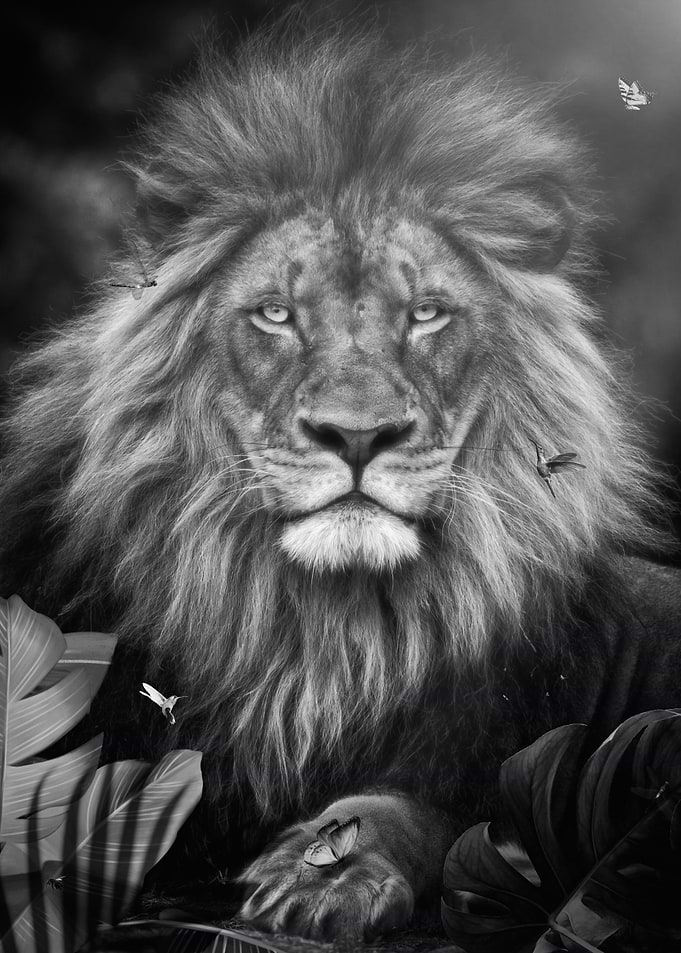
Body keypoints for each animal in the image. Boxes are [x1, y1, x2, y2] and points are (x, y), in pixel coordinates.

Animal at [1, 25, 680, 945]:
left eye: (425, 313)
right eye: (275, 315)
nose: (357, 435)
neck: (323, 629)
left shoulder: (516, 757)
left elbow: (435, 813)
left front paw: (326, 870)